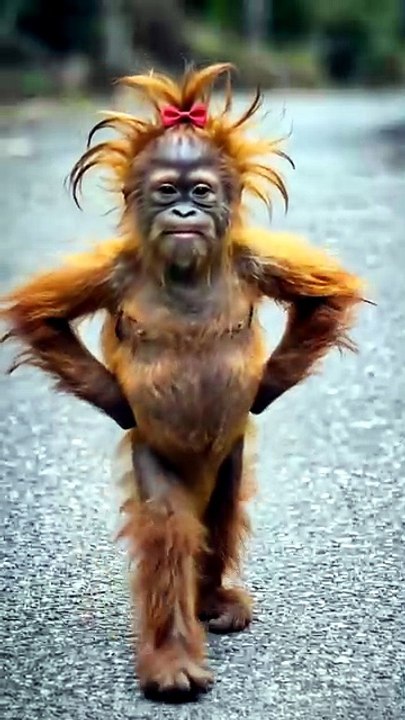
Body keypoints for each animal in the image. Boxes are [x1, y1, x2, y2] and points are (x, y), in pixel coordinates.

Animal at [0, 64, 365, 702]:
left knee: (221, 507)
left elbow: (327, 296)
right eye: (168, 191)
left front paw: (263, 388)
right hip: (158, 457)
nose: (186, 216)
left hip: (231, 456)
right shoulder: (115, 267)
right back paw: (175, 655)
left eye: (202, 192)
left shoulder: (250, 255)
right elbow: (37, 317)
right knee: (173, 523)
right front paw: (120, 403)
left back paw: (214, 600)